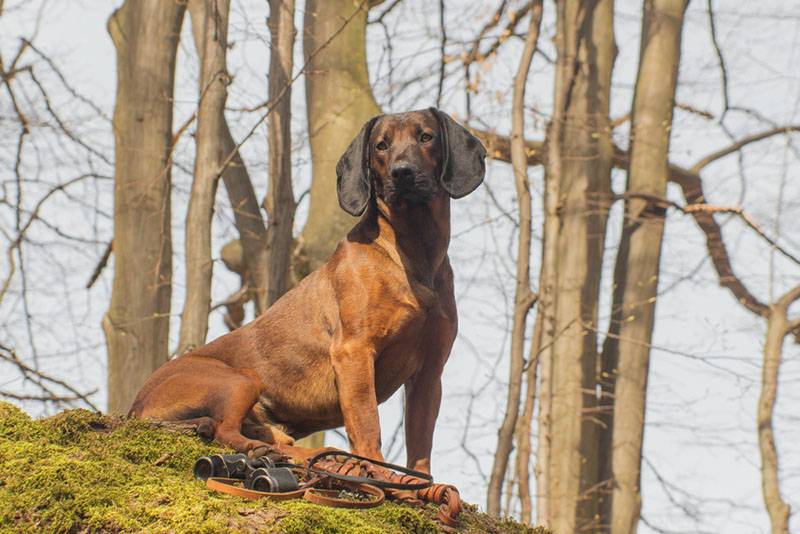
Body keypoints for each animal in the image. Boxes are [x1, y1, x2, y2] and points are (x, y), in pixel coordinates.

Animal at [128, 107, 484, 476]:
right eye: (381, 146)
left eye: (426, 137)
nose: (402, 173)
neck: (412, 250)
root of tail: (137, 406)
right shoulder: (354, 351)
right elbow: (367, 424)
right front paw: (377, 471)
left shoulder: (430, 370)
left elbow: (421, 443)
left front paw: (418, 482)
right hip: (240, 379)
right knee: (226, 430)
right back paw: (264, 451)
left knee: (271, 437)